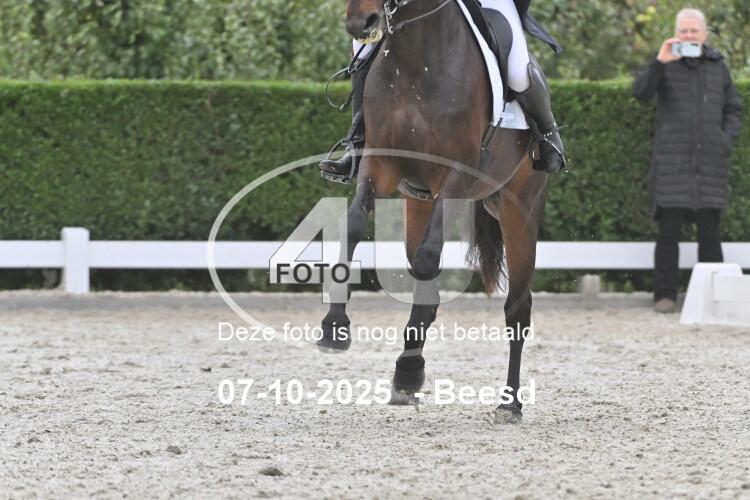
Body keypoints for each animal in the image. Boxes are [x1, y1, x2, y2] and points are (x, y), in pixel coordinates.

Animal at [318, 0, 548, 421]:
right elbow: (354, 227)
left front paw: (408, 370)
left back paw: (509, 402)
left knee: (517, 308)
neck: (416, 57)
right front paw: (334, 326)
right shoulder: (379, 164)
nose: (361, 23)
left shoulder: (454, 177)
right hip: (419, 201)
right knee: (426, 279)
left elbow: (427, 258)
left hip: (518, 210)